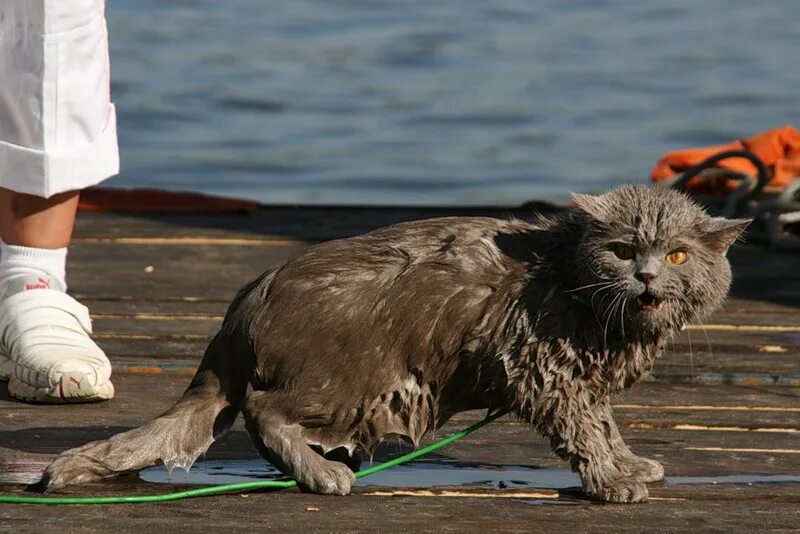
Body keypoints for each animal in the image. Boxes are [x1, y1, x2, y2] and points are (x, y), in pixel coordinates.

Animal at [39, 186, 752, 504]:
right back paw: (323, 473)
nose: (647, 276)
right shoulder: (547, 372)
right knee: (265, 411)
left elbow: (605, 425)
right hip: (362, 383)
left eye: (677, 254)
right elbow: (583, 431)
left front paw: (629, 464)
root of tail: (242, 308)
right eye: (624, 249)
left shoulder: (582, 379)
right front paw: (610, 481)